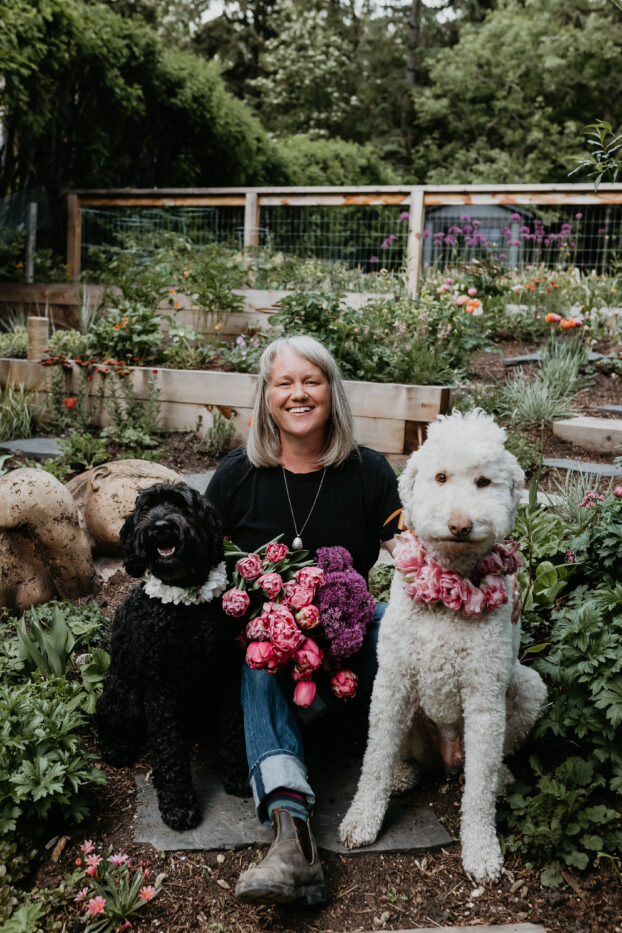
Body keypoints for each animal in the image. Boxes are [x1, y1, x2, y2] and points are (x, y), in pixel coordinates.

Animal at [96, 484, 247, 828]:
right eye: (147, 508)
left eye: (181, 506)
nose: (161, 527)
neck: (185, 607)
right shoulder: (161, 687)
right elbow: (169, 748)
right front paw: (178, 804)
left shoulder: (226, 676)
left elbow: (234, 728)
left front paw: (240, 774)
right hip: (124, 692)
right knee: (108, 719)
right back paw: (117, 747)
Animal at [338, 408, 548, 880]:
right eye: (440, 477)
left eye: (484, 482)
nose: (460, 524)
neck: (448, 589)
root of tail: (448, 755)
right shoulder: (393, 682)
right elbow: (374, 759)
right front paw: (363, 818)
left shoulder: (485, 698)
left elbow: (478, 793)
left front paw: (482, 850)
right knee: (405, 756)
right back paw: (402, 773)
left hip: (527, 690)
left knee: (486, 766)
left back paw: (500, 779)